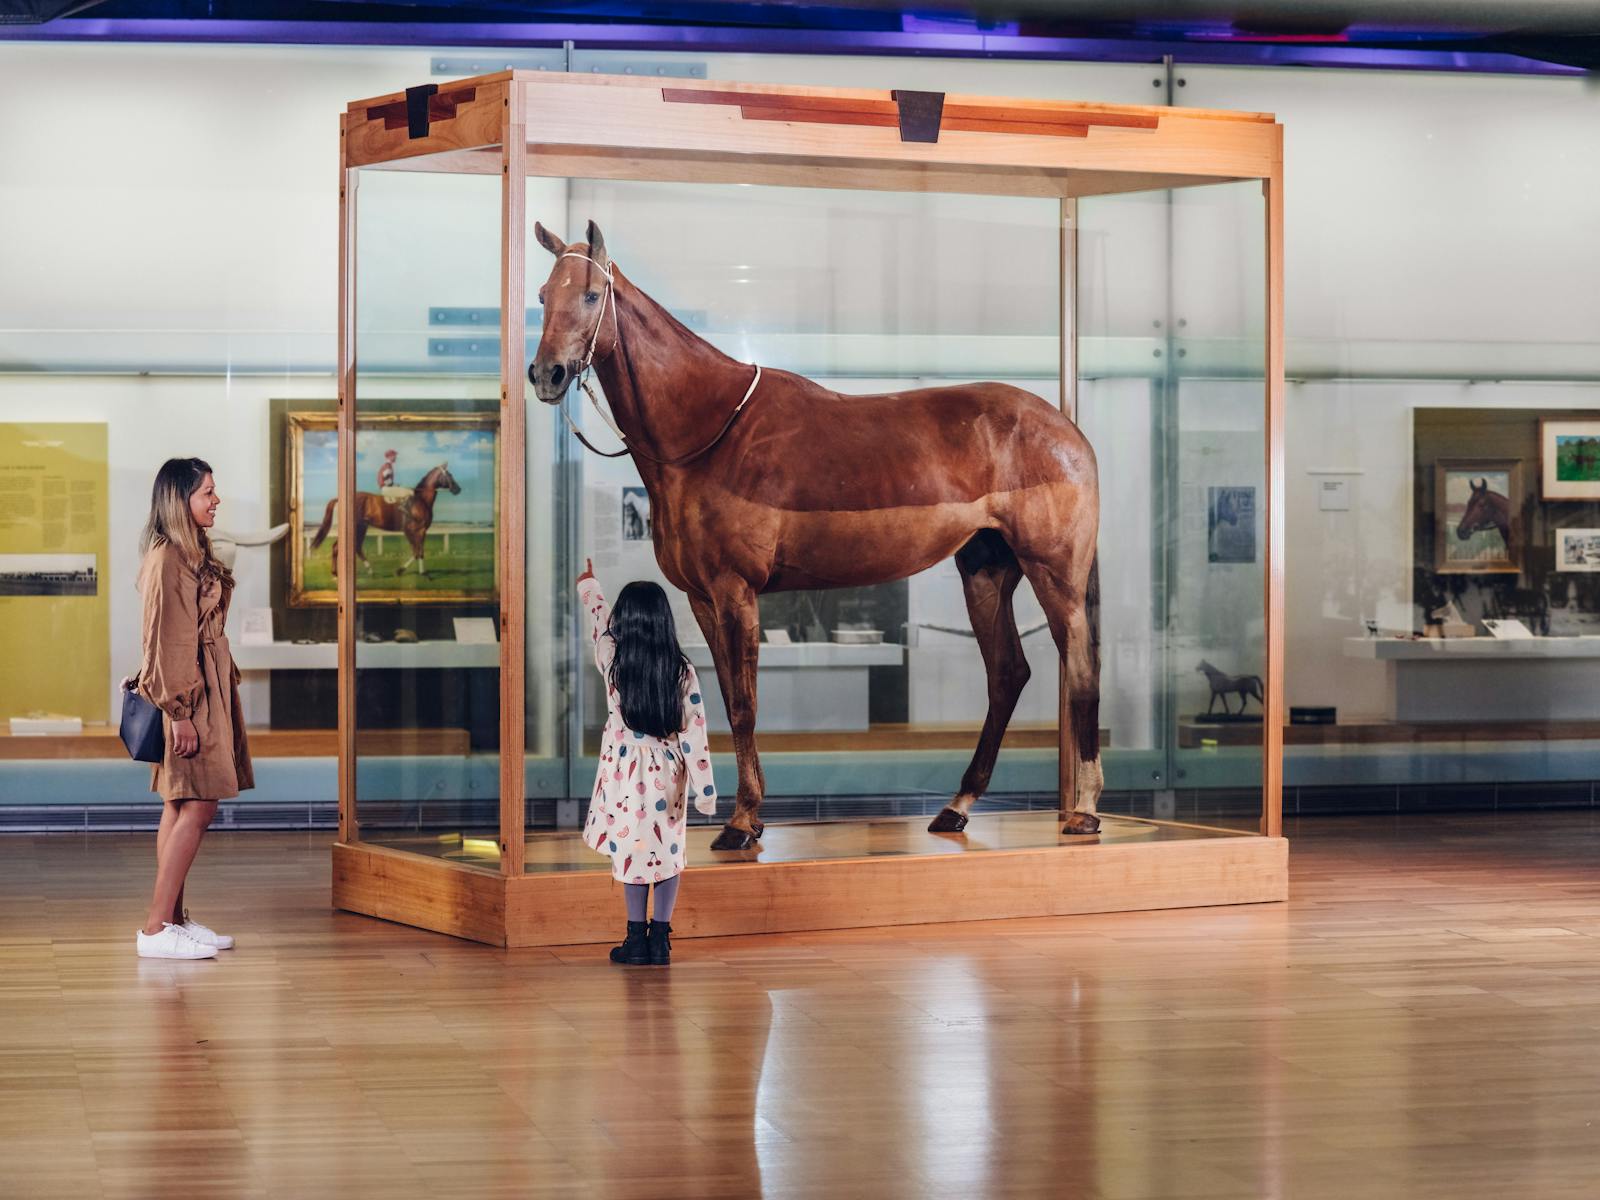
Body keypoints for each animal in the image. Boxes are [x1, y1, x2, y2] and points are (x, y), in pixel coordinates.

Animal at [307, 464, 460, 579]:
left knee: (356, 547)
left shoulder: (421, 531)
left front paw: (423, 573)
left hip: (362, 527)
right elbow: (416, 551)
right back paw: (335, 574)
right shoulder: (412, 530)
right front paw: (400, 570)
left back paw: (370, 571)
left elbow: (420, 551)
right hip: (355, 527)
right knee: (337, 547)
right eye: (449, 475)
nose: (458, 489)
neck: (420, 500)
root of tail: (339, 499)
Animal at [524, 220, 1100, 851]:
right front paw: (749, 817)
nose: (547, 374)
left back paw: (1084, 809)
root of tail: (1069, 432)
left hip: (1054, 572)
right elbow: (729, 700)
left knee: (1080, 667)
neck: (706, 430)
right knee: (1007, 675)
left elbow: (745, 705)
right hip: (985, 570)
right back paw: (957, 806)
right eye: (543, 296)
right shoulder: (703, 598)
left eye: (590, 296)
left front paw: (742, 822)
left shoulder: (735, 590)